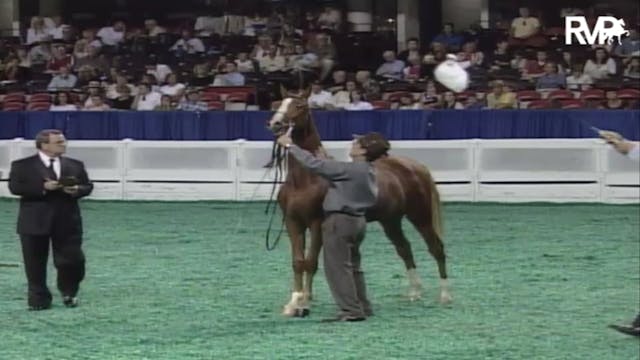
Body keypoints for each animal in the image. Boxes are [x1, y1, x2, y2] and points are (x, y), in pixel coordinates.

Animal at [266, 91, 450, 316]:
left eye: (299, 105)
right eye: (279, 103)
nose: (275, 124)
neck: (304, 180)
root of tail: (417, 167)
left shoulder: (317, 223)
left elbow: (311, 262)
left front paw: (305, 302)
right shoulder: (293, 222)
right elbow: (297, 262)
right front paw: (294, 302)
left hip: (420, 216)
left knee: (436, 248)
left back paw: (445, 296)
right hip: (391, 221)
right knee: (404, 248)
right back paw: (414, 292)